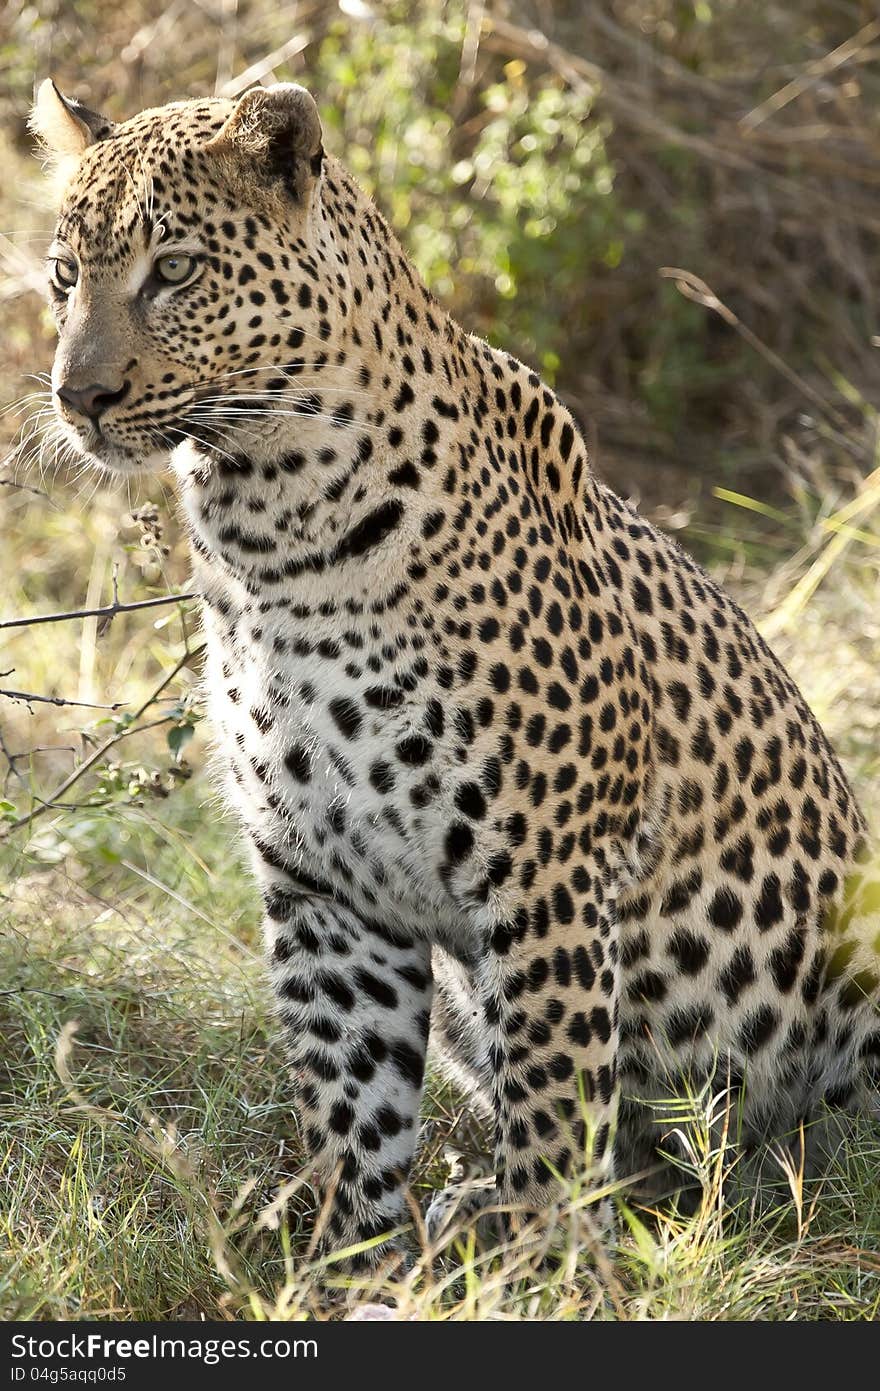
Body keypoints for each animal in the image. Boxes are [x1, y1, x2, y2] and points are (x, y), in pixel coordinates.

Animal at [29, 78, 878, 1263]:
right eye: (65, 276)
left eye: (177, 270)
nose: (80, 397)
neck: (271, 527)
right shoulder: (323, 879)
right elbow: (351, 1098)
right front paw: (350, 1260)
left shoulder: (547, 873)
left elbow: (555, 1103)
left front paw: (544, 1267)